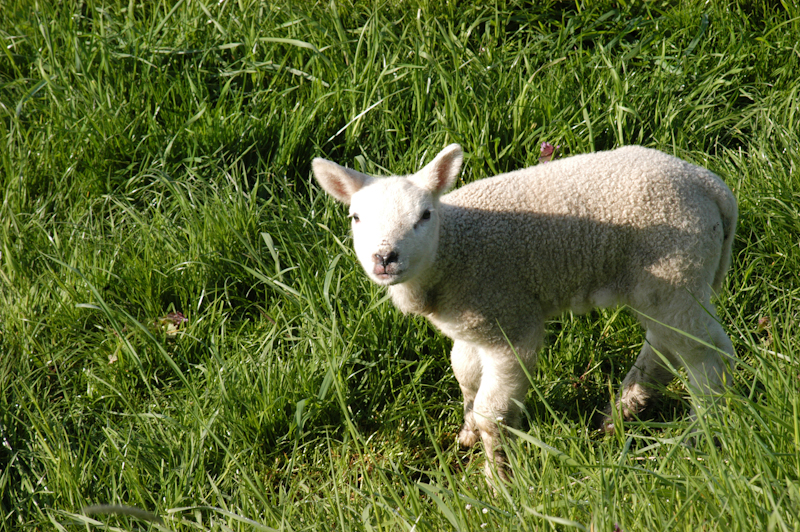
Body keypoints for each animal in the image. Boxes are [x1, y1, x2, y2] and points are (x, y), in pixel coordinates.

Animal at [312, 144, 737, 480]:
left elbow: (493, 410)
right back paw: (623, 411)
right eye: (355, 218)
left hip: (677, 271)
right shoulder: (472, 322)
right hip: (661, 284)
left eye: (425, 216)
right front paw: (468, 433)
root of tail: (709, 184)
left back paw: (700, 431)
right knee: (666, 342)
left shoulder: (509, 322)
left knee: (707, 354)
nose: (385, 258)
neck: (452, 252)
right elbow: (465, 375)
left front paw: (498, 479)